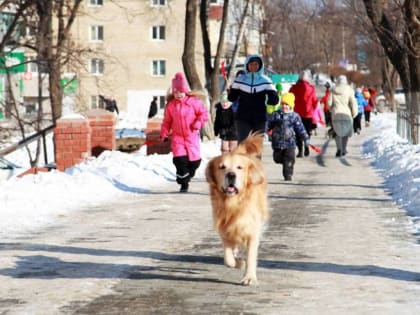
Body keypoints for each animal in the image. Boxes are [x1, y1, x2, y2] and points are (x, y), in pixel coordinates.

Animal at [206, 133, 270, 286]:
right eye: (222, 167)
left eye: (239, 167)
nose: (231, 175)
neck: (234, 204)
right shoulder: (224, 229)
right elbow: (228, 259)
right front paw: (239, 263)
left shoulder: (252, 230)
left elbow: (251, 255)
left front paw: (249, 277)